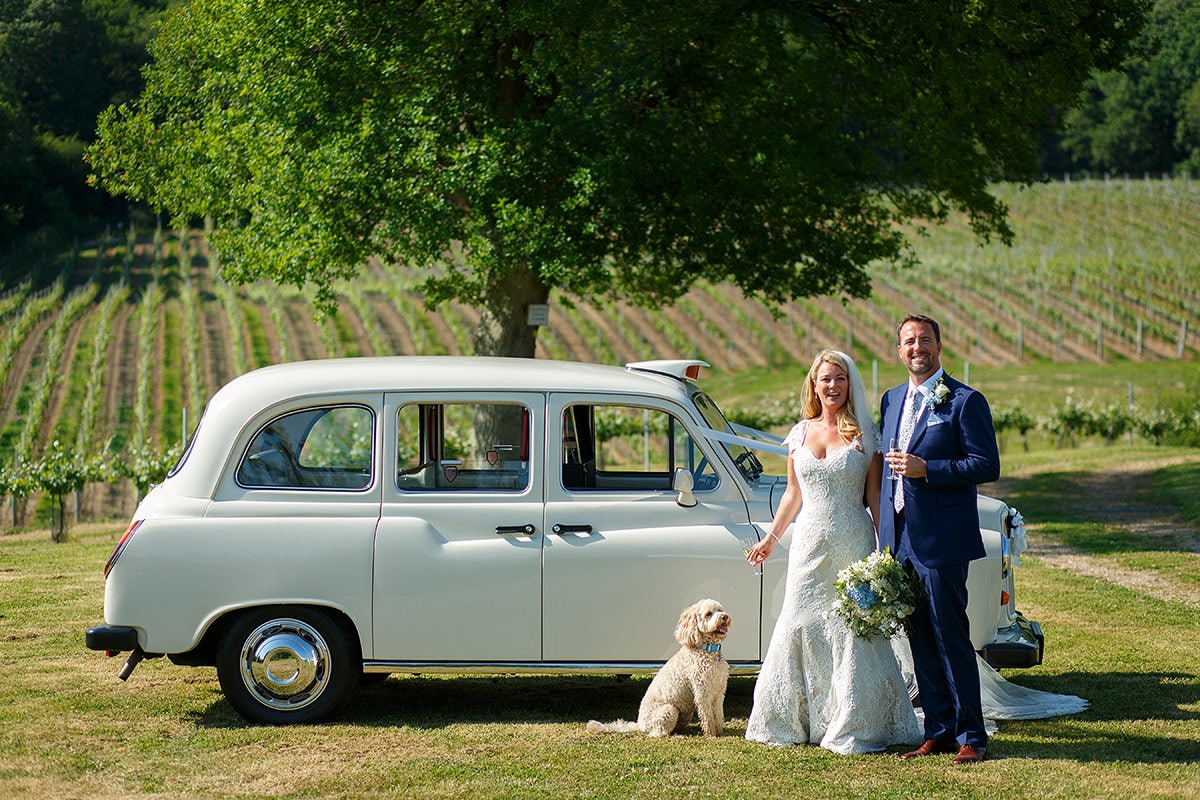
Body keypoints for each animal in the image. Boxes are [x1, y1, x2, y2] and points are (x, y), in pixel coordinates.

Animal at [583, 599, 724, 738]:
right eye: (708, 614)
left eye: (720, 610)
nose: (724, 617)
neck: (708, 650)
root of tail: (639, 725)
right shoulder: (702, 692)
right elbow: (707, 717)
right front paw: (711, 734)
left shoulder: (718, 692)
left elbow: (718, 714)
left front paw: (719, 731)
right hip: (669, 710)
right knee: (657, 733)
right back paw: (677, 736)